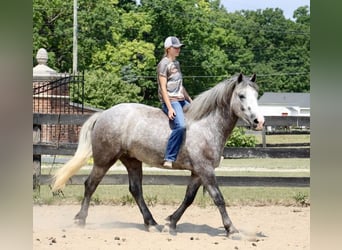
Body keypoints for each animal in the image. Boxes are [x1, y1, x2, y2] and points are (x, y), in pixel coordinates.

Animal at [52, 73, 264, 237]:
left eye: (257, 95)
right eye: (241, 95)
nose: (259, 121)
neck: (206, 125)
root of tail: (103, 114)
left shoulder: (198, 172)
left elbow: (189, 198)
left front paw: (170, 223)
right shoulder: (205, 170)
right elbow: (218, 198)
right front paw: (232, 229)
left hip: (132, 161)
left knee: (136, 190)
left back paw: (151, 223)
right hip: (104, 160)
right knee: (90, 185)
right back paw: (80, 220)